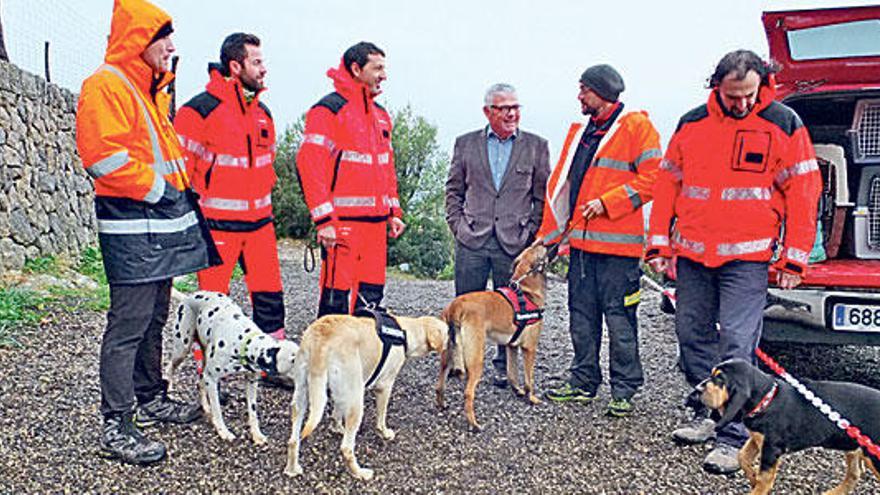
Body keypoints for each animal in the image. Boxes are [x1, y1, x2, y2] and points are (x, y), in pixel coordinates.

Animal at [166, 288, 300, 444]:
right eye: (293, 360)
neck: (242, 341)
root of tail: (187, 297)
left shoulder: (251, 382)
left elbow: (253, 411)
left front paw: (256, 434)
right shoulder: (211, 379)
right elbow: (217, 409)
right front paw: (223, 431)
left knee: (200, 383)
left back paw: (205, 407)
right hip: (182, 349)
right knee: (170, 367)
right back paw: (169, 388)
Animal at [284, 314, 446, 480]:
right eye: (447, 332)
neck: (406, 332)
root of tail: (321, 339)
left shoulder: (341, 394)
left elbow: (336, 413)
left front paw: (337, 428)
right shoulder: (384, 386)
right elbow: (381, 418)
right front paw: (384, 433)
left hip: (302, 395)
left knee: (293, 440)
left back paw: (292, 469)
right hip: (356, 400)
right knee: (346, 448)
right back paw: (360, 473)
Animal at [700, 360, 880, 495]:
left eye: (720, 379)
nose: (697, 389)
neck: (767, 399)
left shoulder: (771, 448)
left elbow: (764, 478)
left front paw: (757, 487)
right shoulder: (758, 437)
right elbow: (742, 456)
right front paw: (752, 477)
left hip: (873, 455)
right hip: (854, 446)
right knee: (855, 474)